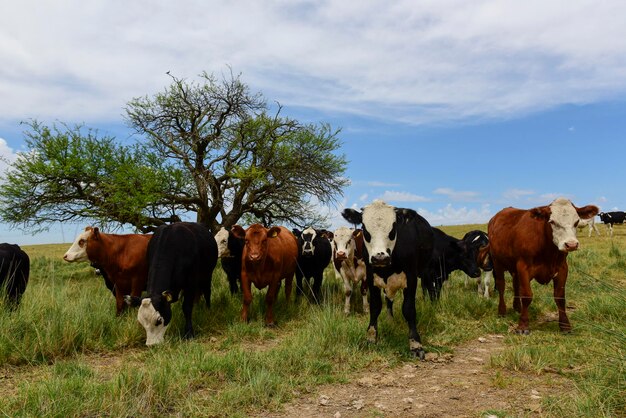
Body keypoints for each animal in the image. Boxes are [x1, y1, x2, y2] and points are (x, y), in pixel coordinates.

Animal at [342, 199, 434, 360]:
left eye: (393, 228)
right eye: (364, 229)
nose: (380, 257)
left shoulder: (411, 278)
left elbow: (409, 309)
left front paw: (415, 344)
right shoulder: (371, 277)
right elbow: (375, 307)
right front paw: (371, 338)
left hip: (425, 271)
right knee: (388, 300)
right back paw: (390, 321)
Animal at [486, 198, 596, 334]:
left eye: (576, 222)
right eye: (552, 222)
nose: (571, 244)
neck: (548, 251)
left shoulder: (562, 268)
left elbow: (560, 297)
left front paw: (565, 325)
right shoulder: (523, 267)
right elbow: (527, 295)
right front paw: (523, 325)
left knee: (516, 285)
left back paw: (517, 307)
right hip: (497, 263)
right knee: (501, 286)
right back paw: (502, 311)